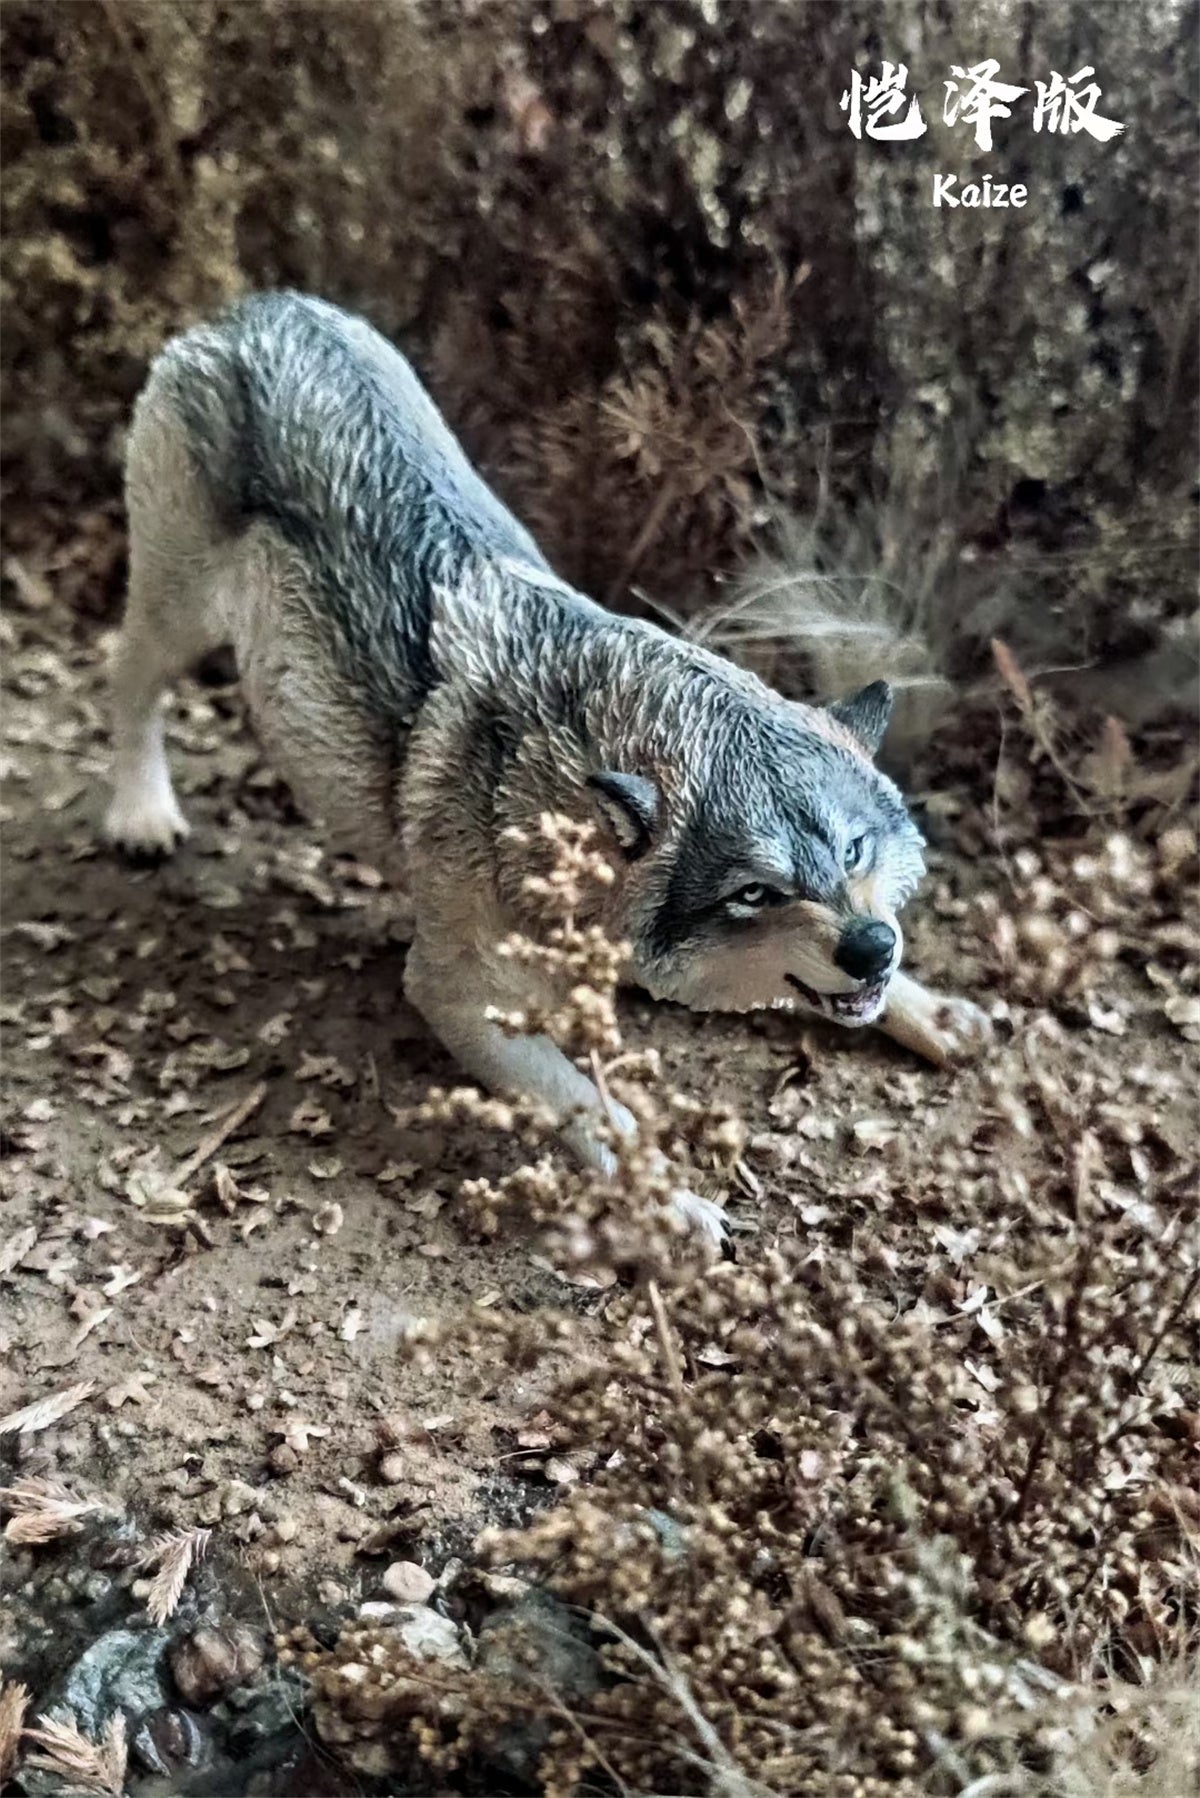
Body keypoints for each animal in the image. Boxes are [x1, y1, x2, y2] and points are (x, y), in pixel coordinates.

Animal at [103, 292, 991, 1237]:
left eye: (854, 851)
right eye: (756, 893)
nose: (870, 947)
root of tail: (258, 308)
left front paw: (932, 1009)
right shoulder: (459, 1001)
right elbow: (597, 1109)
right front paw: (669, 1202)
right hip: (178, 617)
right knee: (125, 680)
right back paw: (140, 814)